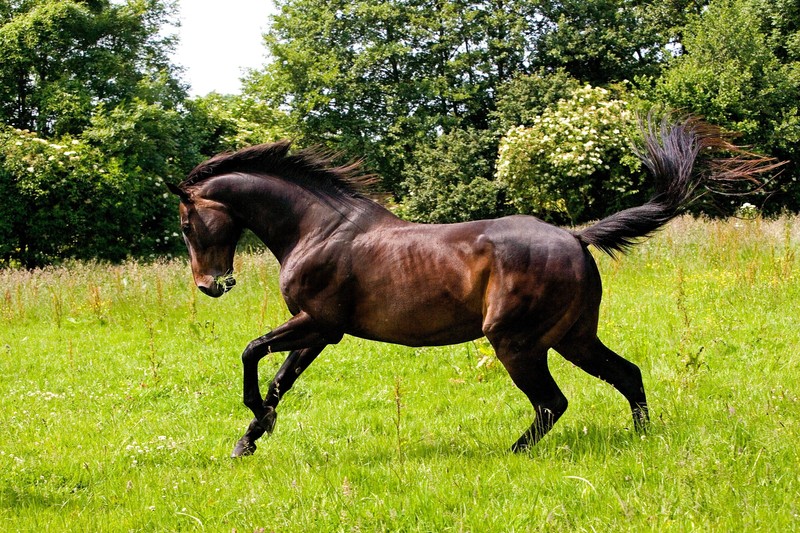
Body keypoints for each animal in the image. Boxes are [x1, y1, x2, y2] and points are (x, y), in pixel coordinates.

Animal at [169, 116, 776, 458]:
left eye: (186, 223)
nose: (209, 285)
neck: (318, 229)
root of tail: (575, 236)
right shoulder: (319, 332)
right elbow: (279, 380)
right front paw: (249, 439)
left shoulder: (319, 323)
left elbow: (252, 353)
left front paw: (253, 423)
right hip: (572, 338)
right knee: (626, 375)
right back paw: (643, 439)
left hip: (516, 342)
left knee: (553, 402)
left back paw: (511, 453)